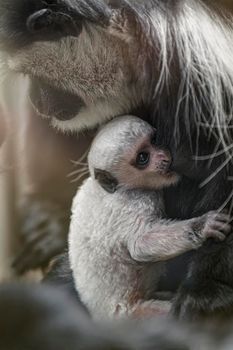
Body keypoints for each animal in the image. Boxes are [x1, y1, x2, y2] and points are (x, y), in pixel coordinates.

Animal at [68, 116, 231, 322]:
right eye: (143, 158)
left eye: (155, 140)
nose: (165, 158)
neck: (115, 188)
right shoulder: (136, 201)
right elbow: (140, 244)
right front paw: (203, 226)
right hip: (133, 314)